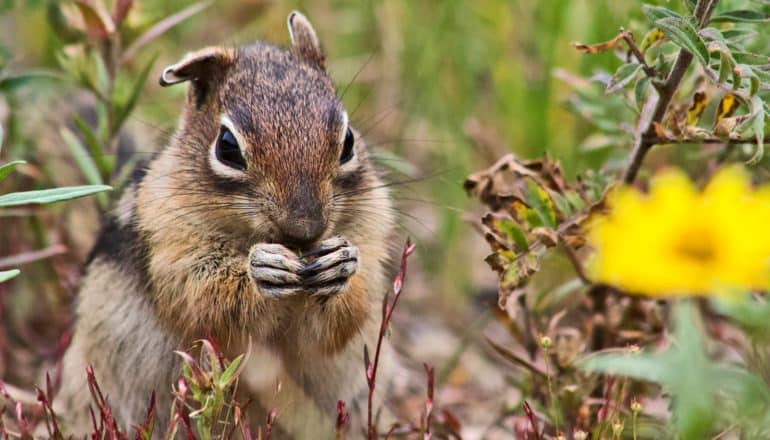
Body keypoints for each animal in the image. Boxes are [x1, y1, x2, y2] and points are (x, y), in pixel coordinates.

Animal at [55, 11, 396, 440]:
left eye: (348, 141)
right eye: (227, 147)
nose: (305, 228)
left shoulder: (371, 228)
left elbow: (341, 320)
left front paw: (341, 265)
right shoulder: (170, 243)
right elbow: (201, 297)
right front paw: (260, 269)